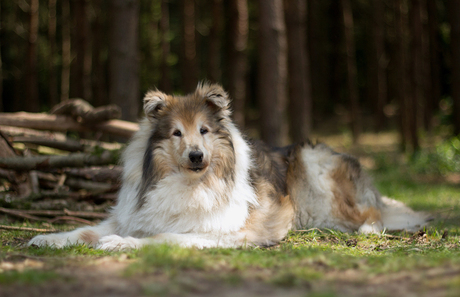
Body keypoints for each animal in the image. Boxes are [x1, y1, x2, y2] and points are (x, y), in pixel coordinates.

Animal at [28, 82, 430, 249]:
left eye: (204, 131)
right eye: (176, 133)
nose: (196, 156)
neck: (189, 183)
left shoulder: (223, 231)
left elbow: (162, 237)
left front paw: (118, 244)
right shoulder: (131, 215)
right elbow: (85, 231)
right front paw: (47, 238)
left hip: (318, 174)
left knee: (372, 214)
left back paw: (368, 230)